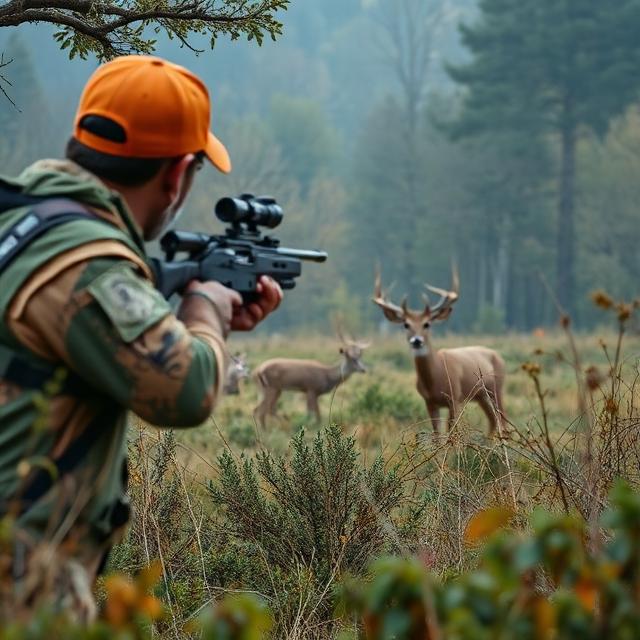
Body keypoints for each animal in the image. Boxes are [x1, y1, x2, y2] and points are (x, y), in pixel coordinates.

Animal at [373, 267, 506, 436]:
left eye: (427, 324)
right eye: (406, 324)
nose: (417, 341)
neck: (435, 377)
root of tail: (499, 356)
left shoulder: (455, 397)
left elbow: (451, 432)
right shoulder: (430, 402)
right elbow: (437, 434)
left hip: (497, 388)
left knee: (503, 420)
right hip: (481, 396)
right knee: (493, 421)